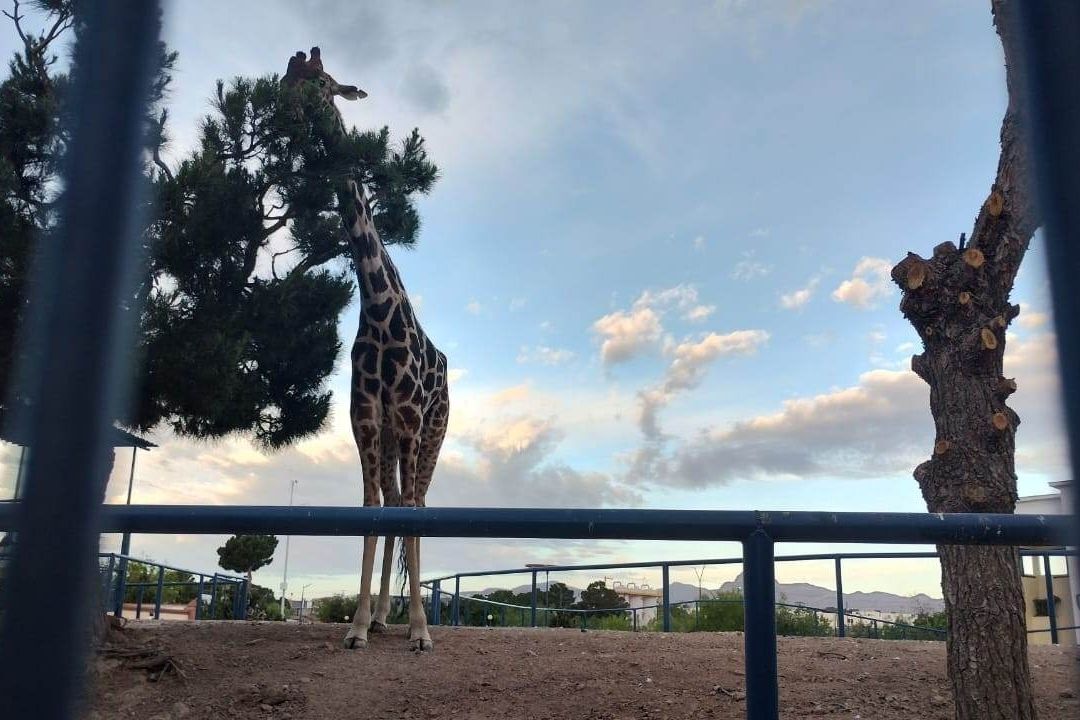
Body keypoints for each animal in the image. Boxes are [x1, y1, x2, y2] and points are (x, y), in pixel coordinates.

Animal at [282, 48, 450, 652]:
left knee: (417, 503)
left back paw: (407, 622)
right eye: (287, 76)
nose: (283, 106)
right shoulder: (367, 416)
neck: (377, 304)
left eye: (323, 83)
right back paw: (379, 617)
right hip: (397, 436)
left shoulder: (408, 416)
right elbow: (371, 509)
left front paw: (421, 631)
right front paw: (356, 626)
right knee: (397, 502)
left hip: (433, 430)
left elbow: (407, 513)